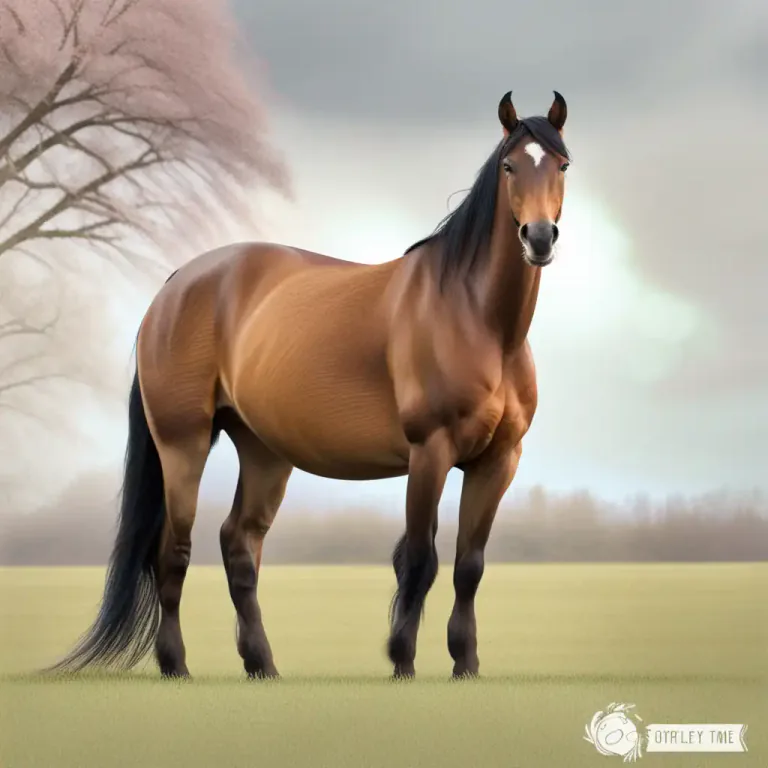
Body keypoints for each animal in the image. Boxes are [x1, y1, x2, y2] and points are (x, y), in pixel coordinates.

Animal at [51, 90, 571, 680]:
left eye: (561, 164)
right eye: (509, 166)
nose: (539, 238)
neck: (478, 320)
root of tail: (175, 285)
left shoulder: (498, 460)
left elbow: (470, 565)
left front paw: (465, 664)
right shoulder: (430, 452)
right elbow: (420, 558)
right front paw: (402, 661)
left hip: (263, 452)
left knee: (238, 545)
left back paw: (262, 665)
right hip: (183, 445)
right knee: (172, 551)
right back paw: (176, 666)